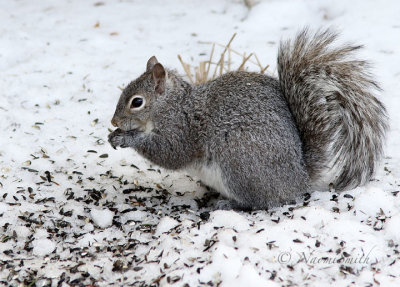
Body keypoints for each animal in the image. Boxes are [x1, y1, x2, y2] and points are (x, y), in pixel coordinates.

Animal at [108, 29, 388, 210]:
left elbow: (170, 152)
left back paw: (229, 204)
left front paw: (126, 139)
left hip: (239, 162)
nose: (114, 122)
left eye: (136, 102)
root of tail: (298, 177)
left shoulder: (182, 128)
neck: (173, 105)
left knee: (262, 203)